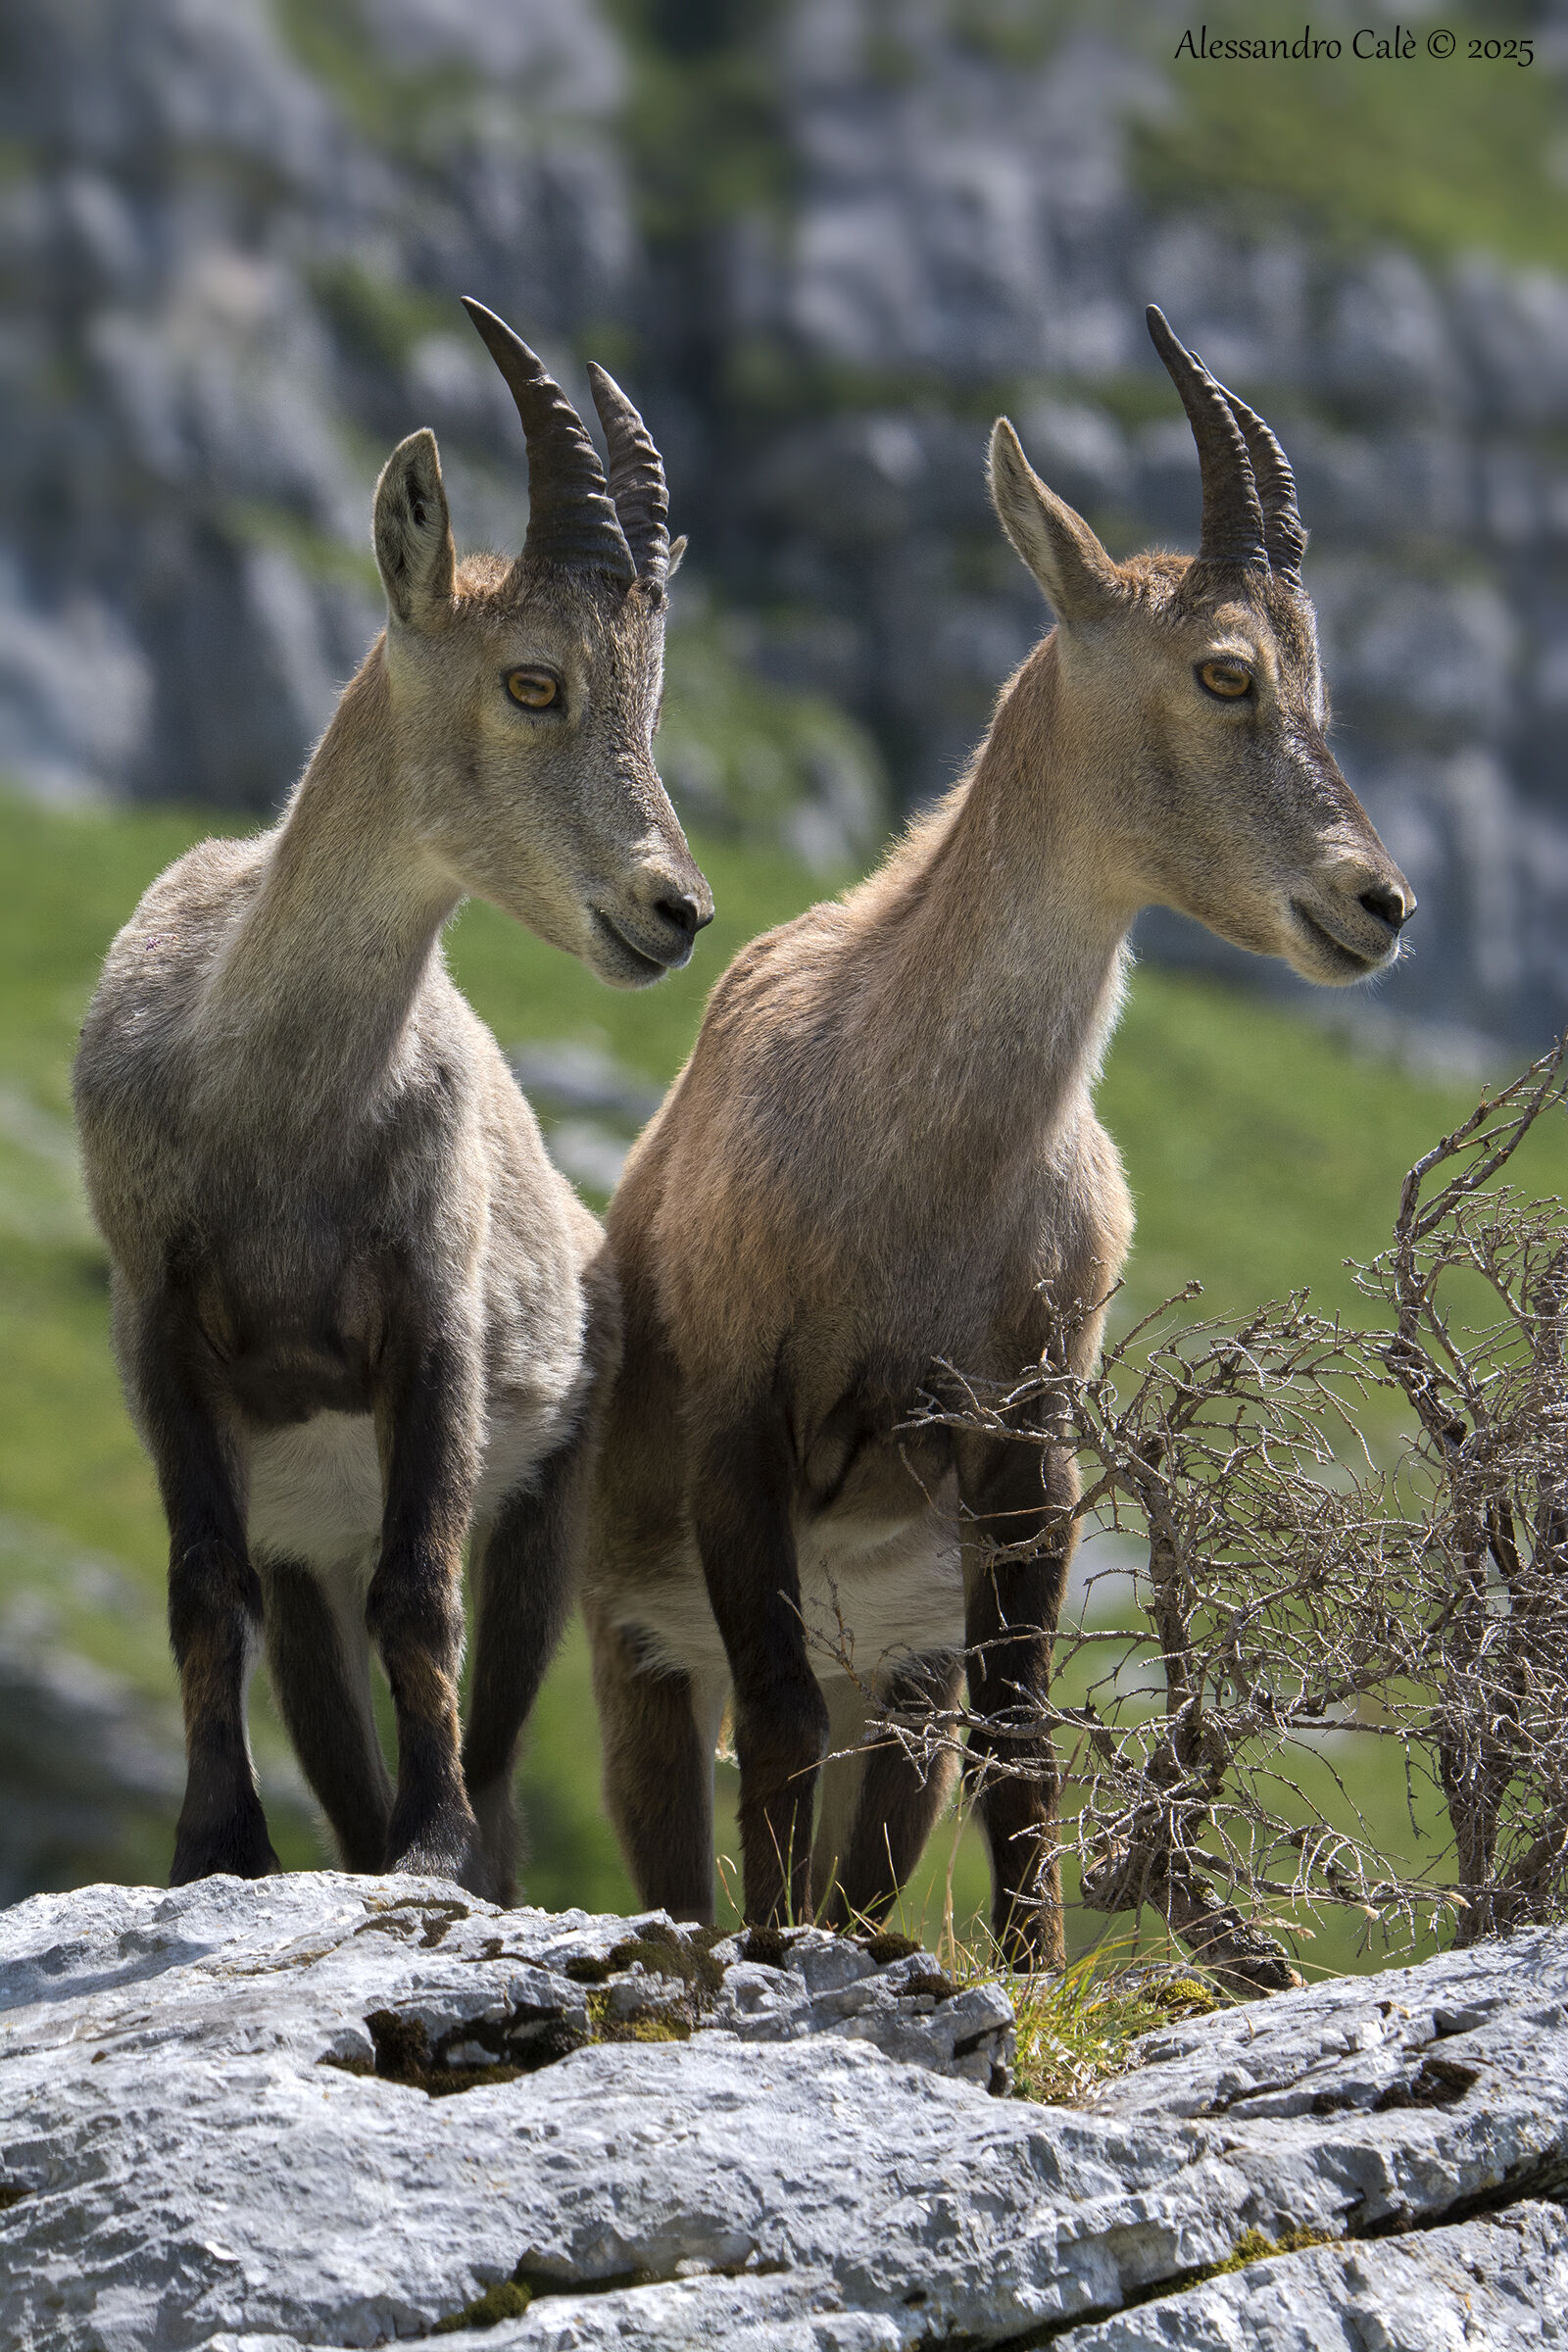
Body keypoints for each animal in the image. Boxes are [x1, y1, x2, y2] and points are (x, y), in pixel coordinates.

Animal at [74, 301, 711, 1899]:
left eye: (648, 697)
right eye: (533, 679)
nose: (673, 910)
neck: (272, 1100)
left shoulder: (432, 1313)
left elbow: (424, 1596)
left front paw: (434, 1848)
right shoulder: (162, 1317)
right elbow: (197, 1587)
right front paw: (214, 1845)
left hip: (551, 1493)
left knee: (500, 1721)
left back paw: (468, 1860)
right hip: (309, 1548)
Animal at [580, 307, 1415, 1965]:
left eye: (1313, 676)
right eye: (1227, 671)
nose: (1378, 903)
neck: (911, 1149)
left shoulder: (1025, 1434)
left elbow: (1022, 1739)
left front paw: (1034, 1979)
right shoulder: (740, 1417)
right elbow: (775, 1717)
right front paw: (776, 1959)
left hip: (894, 1682)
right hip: (639, 1654)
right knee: (693, 1817)